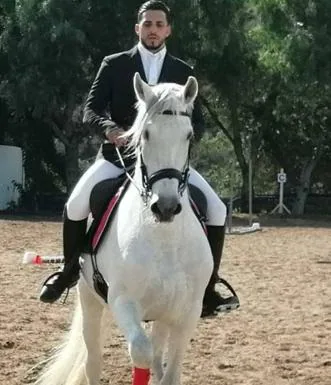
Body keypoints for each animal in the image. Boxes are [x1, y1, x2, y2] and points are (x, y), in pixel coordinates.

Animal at [33, 73, 214, 384]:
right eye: (145, 134)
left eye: (189, 135)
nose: (165, 207)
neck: (164, 239)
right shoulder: (122, 301)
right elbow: (140, 352)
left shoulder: (187, 311)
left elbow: (170, 372)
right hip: (89, 300)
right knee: (93, 361)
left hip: (163, 312)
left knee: (157, 355)